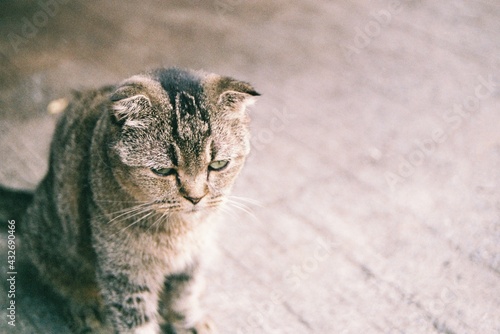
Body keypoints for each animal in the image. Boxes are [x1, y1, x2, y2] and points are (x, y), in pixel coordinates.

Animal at [3, 66, 260, 332]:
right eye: (162, 170)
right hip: (50, 237)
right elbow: (137, 320)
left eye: (218, 164)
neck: (180, 230)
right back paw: (87, 308)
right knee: (64, 278)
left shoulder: (193, 257)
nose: (195, 197)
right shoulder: (125, 272)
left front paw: (188, 321)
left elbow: (184, 294)